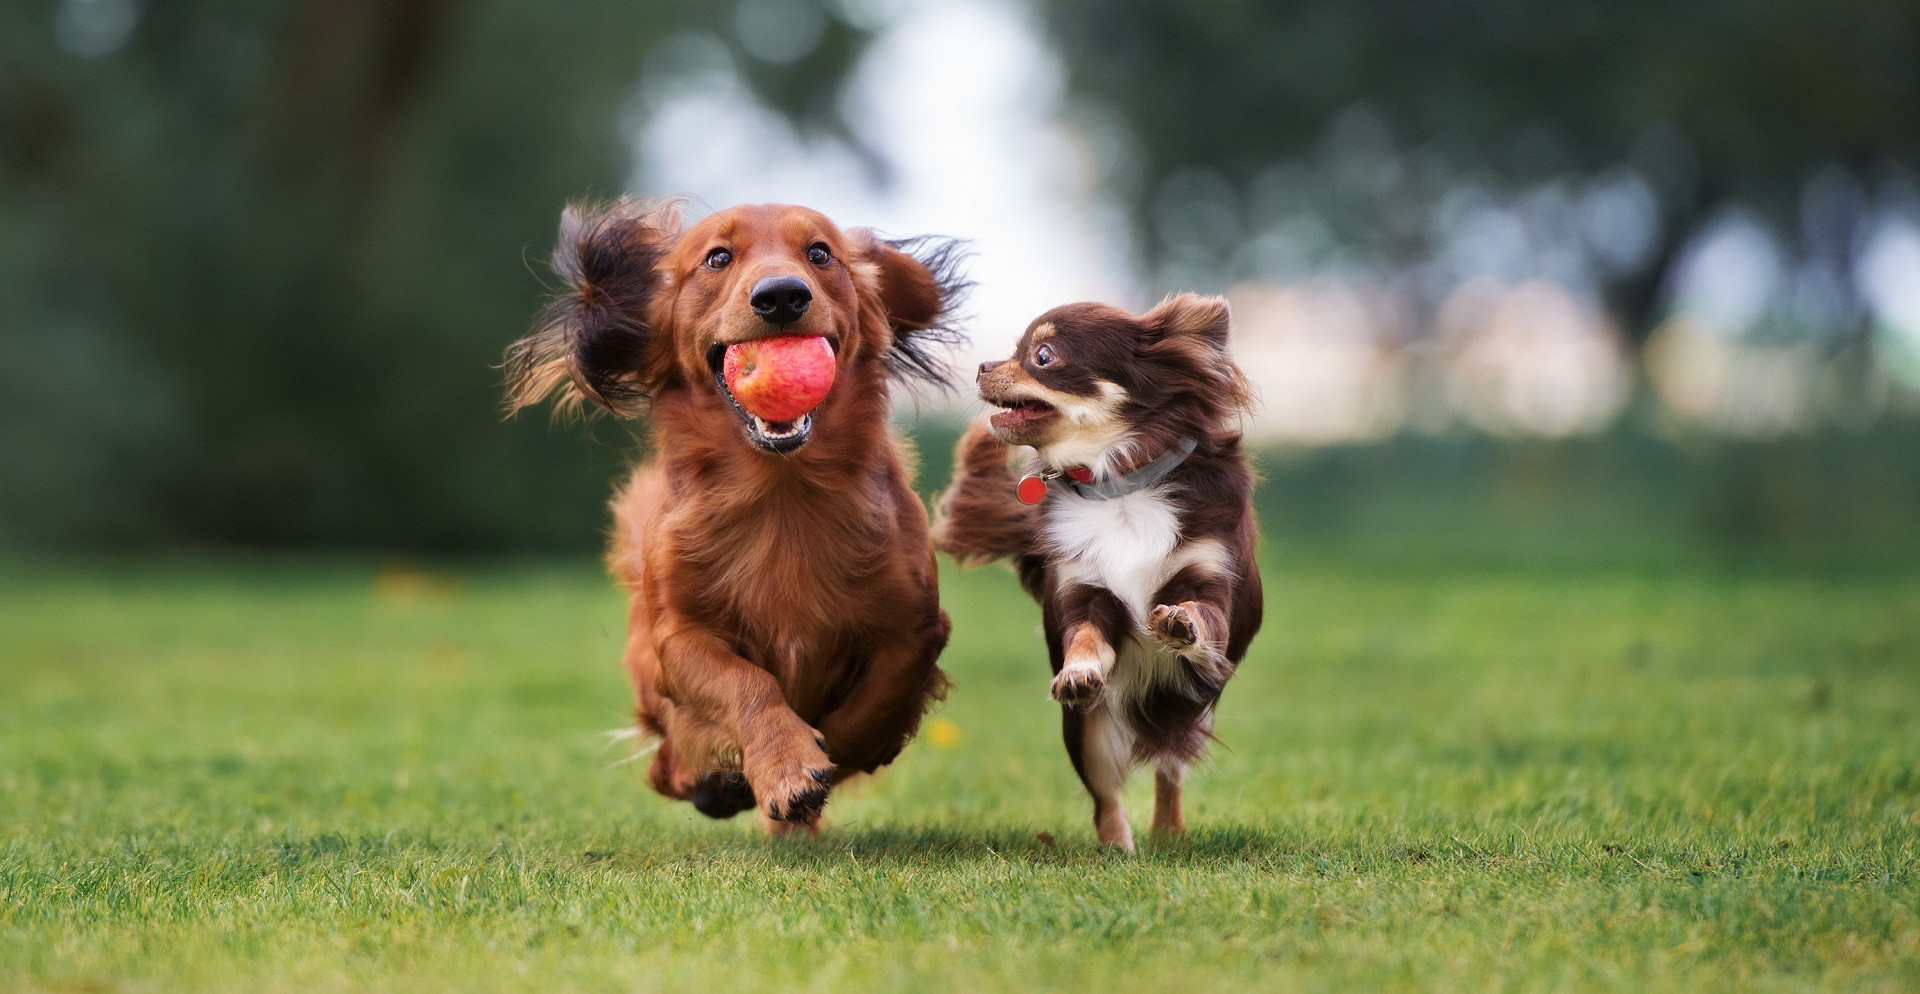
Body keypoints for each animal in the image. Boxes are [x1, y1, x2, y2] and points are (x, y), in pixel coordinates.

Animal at [506, 198, 967, 828]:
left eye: (820, 253)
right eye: (717, 258)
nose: (781, 296)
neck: (781, 493)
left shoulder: (915, 628)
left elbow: (868, 710)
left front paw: (819, 759)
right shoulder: (679, 637)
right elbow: (745, 683)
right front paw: (785, 764)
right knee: (665, 762)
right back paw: (714, 782)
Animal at [929, 293, 1259, 848]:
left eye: (1042, 356)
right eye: (1015, 349)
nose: (982, 366)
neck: (1117, 485)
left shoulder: (1211, 581)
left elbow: (1202, 613)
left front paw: (1181, 622)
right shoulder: (1085, 594)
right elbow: (1085, 637)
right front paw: (1080, 671)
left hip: (1188, 708)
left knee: (1169, 768)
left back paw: (1168, 832)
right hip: (1087, 733)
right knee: (1107, 797)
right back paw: (1116, 848)